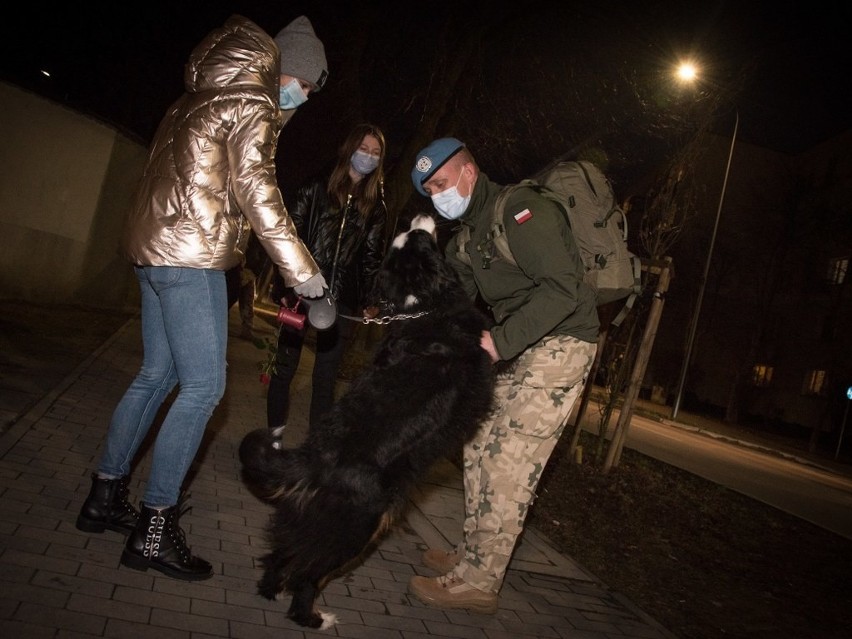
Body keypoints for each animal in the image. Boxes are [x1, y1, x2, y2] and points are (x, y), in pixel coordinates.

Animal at [236, 215, 496, 632]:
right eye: (419, 238)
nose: (420, 217)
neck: (423, 307)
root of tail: (315, 456)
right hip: (358, 526)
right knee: (308, 572)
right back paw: (312, 617)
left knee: (282, 552)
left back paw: (272, 590)